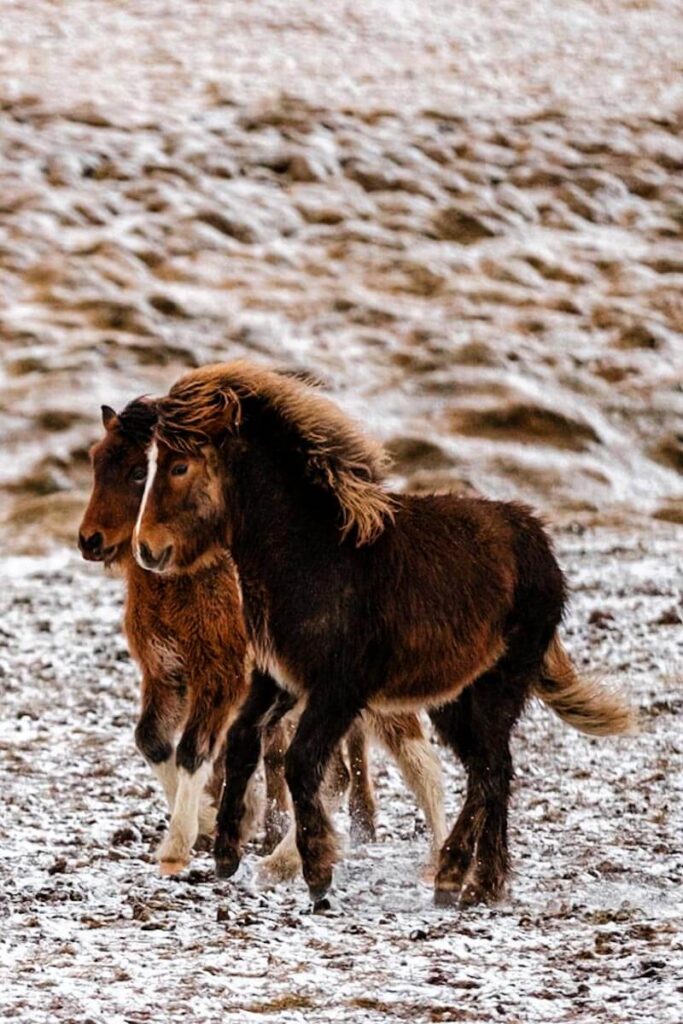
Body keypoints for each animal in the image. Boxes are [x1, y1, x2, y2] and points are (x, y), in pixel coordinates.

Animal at [78, 399, 448, 880]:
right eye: (97, 461)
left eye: (139, 472)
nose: (90, 540)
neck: (192, 585)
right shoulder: (166, 676)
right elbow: (152, 741)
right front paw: (210, 819)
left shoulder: (220, 680)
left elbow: (193, 750)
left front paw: (178, 846)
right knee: (334, 774)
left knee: (416, 764)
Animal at [133, 364, 634, 909]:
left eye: (180, 466)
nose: (148, 550)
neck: (312, 556)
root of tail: (537, 538)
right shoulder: (278, 679)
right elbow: (245, 741)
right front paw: (227, 851)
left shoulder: (338, 691)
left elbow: (302, 763)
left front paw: (316, 871)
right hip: (454, 698)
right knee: (492, 770)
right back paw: (484, 884)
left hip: (499, 686)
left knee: (489, 771)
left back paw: (453, 877)